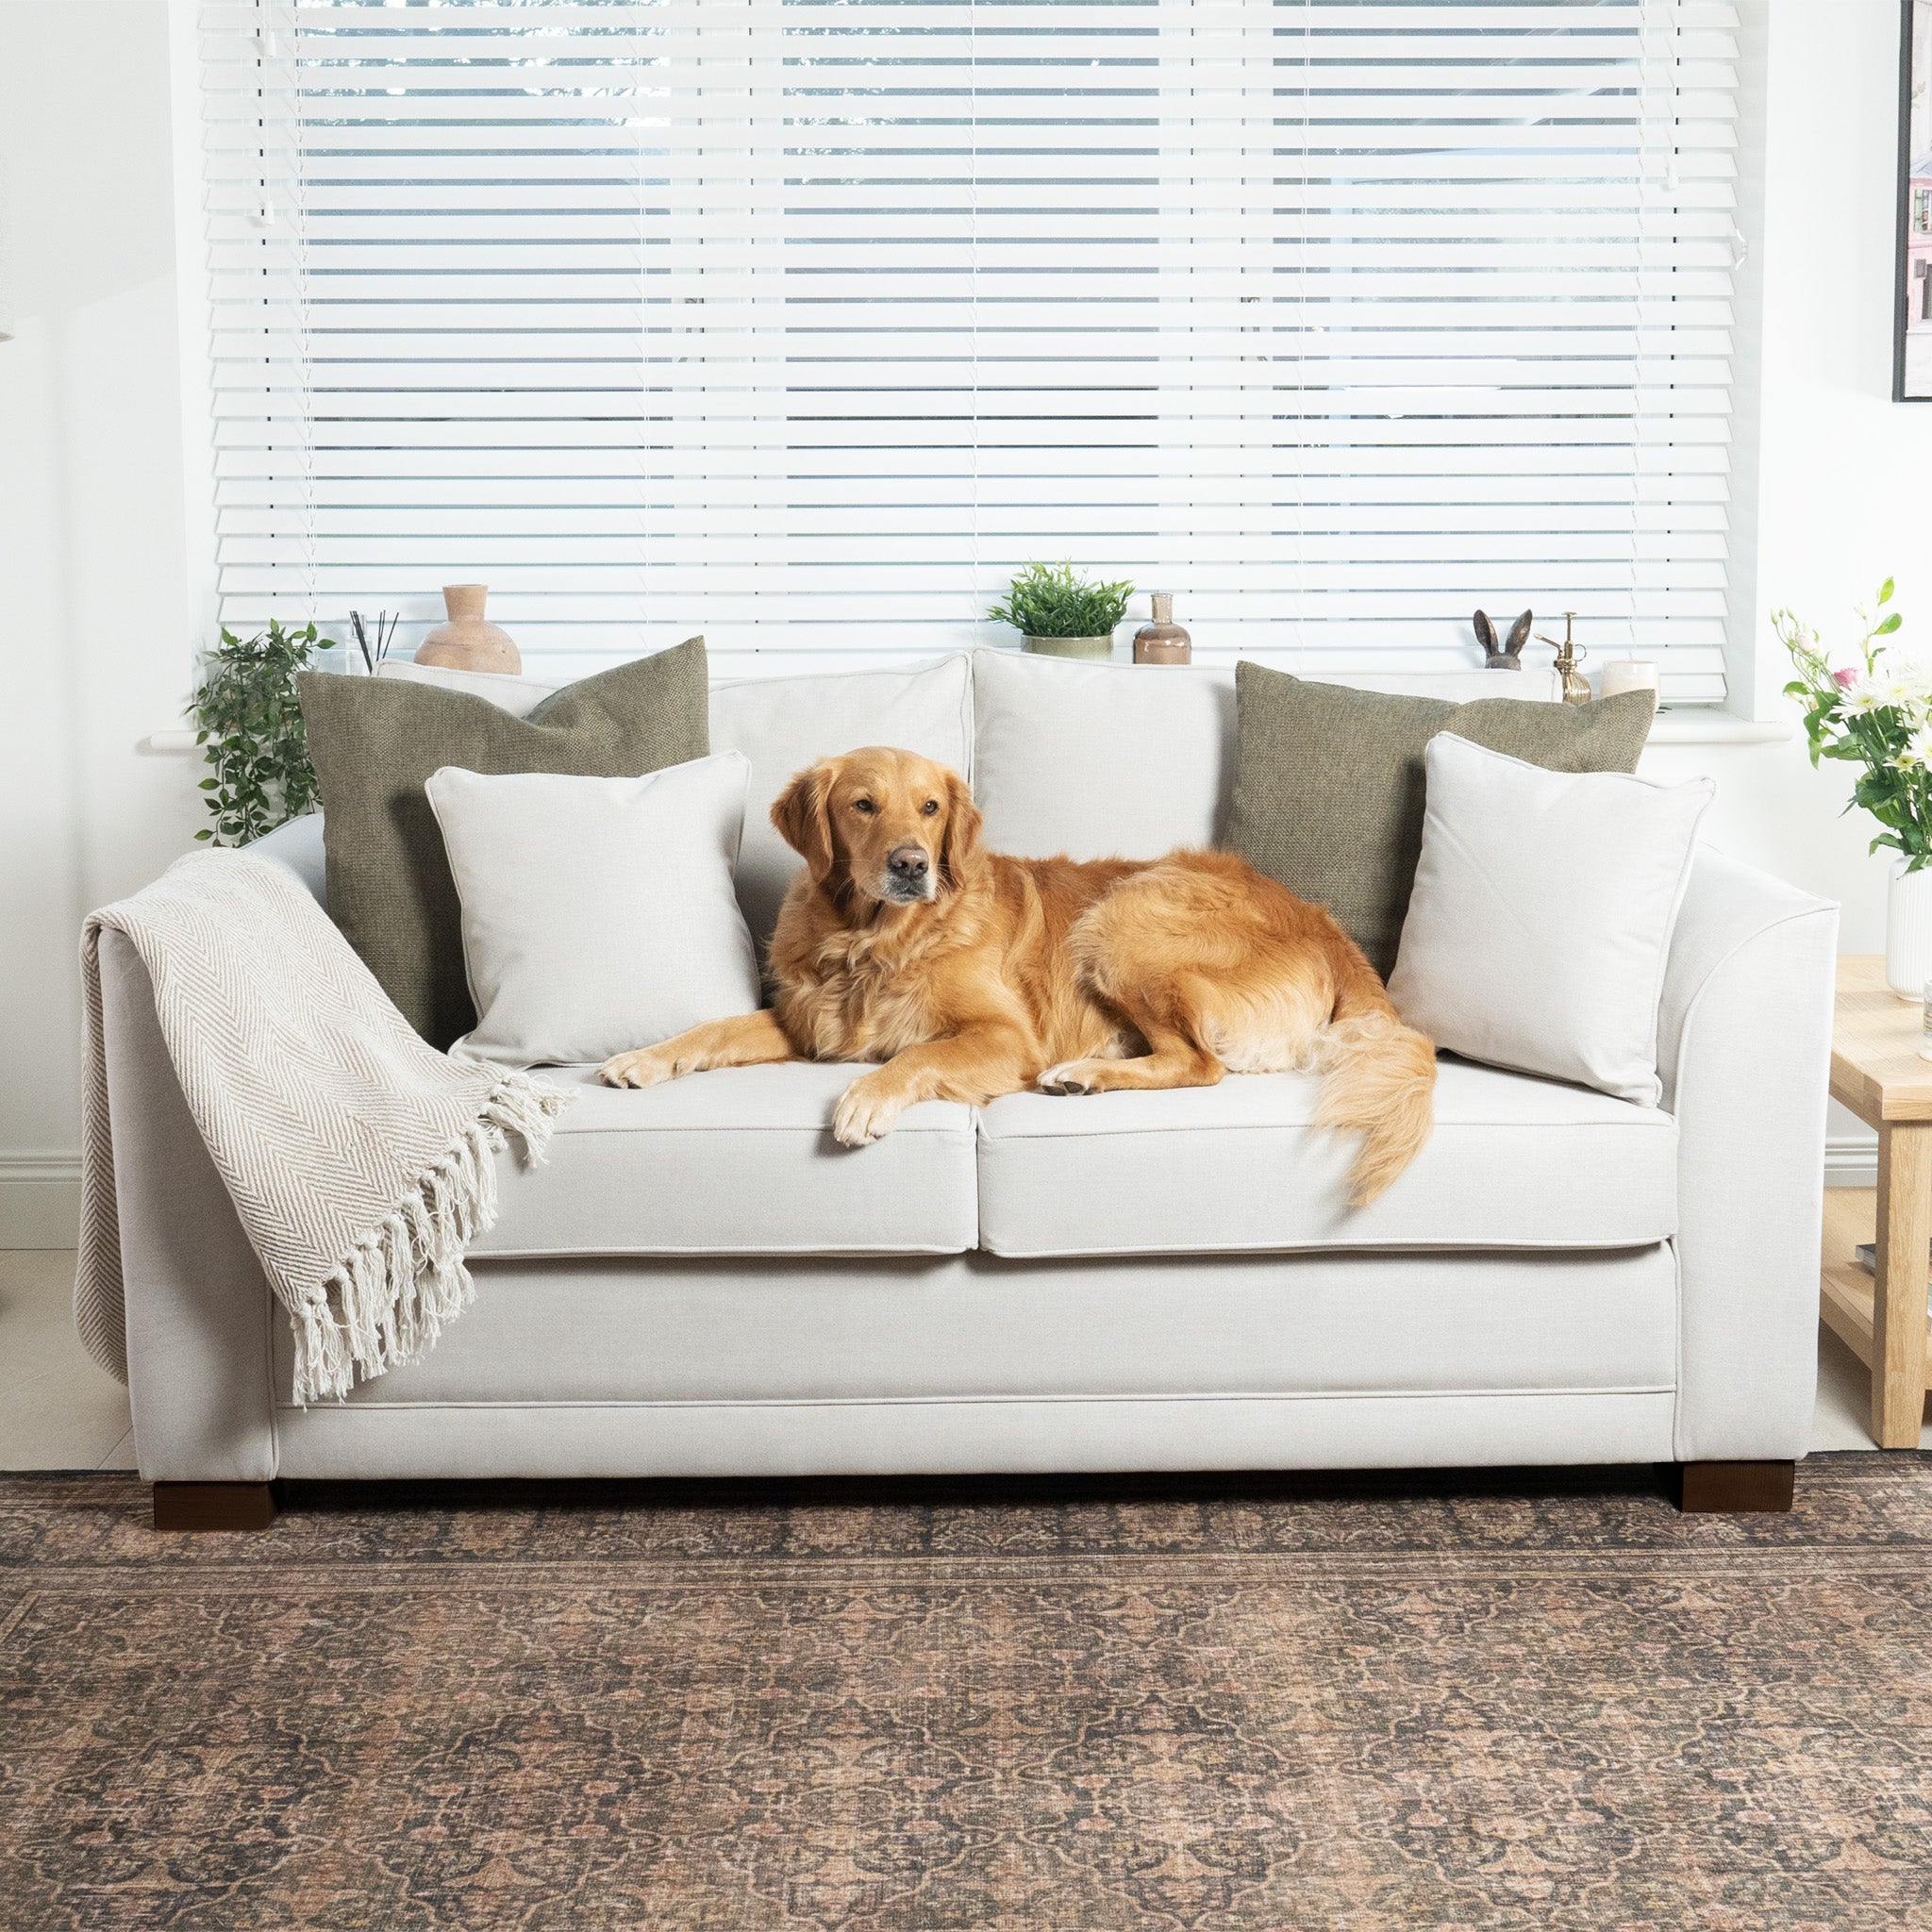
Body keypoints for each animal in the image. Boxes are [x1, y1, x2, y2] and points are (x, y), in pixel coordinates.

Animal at [598, 745, 1437, 1197]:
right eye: (863, 805)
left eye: (930, 808)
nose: (911, 865)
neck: (871, 941)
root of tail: (1320, 920)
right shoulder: (807, 1022)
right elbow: (715, 1028)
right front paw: (643, 1058)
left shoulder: (1005, 1035)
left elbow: (915, 1057)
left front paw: (865, 1100)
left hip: (1123, 922)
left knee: (1201, 1064)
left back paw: (1084, 1074)